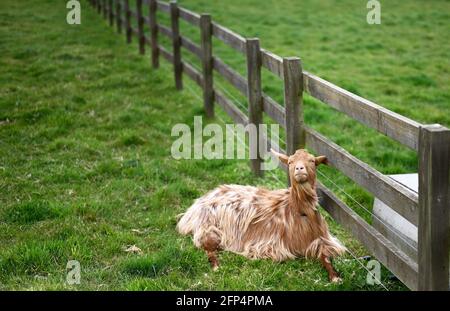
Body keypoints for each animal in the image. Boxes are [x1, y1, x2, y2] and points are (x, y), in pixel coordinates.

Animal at [176, 149, 344, 282]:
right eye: (290, 162)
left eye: (312, 161)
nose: (299, 169)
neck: (299, 212)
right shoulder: (271, 245)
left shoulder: (322, 240)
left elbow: (326, 257)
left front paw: (335, 277)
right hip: (209, 227)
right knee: (208, 247)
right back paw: (216, 266)